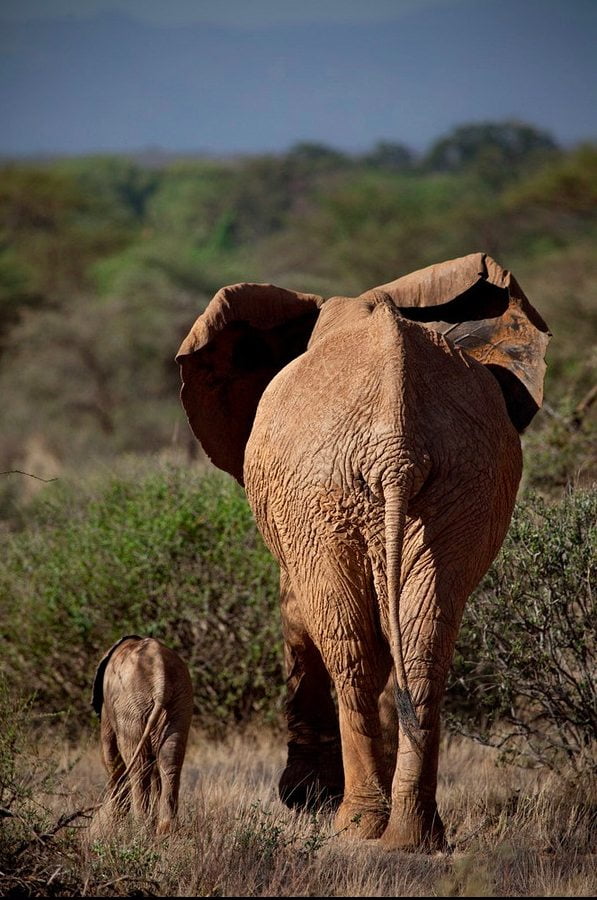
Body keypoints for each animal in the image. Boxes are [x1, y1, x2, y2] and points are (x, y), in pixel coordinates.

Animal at [91, 636, 193, 832]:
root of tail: (161, 679)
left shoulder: (108, 707)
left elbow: (111, 756)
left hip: (130, 707)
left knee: (137, 767)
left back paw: (141, 828)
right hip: (179, 702)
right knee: (170, 760)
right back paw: (165, 831)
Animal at [175, 253, 548, 852]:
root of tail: (397, 448)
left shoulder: (297, 518)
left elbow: (296, 608)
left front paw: (305, 799)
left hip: (327, 495)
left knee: (350, 649)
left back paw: (355, 827)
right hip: (460, 486)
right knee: (422, 645)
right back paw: (414, 837)